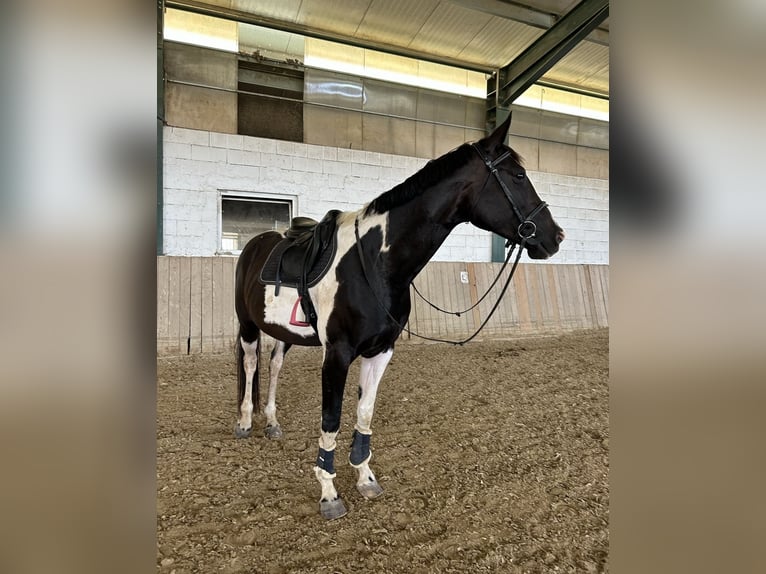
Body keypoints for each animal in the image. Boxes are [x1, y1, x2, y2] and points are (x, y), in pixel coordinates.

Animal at [233, 116, 565, 520]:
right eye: (518, 175)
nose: (555, 236)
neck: (375, 262)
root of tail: (255, 243)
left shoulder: (381, 350)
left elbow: (364, 412)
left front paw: (365, 477)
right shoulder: (337, 354)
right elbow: (331, 418)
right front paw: (329, 493)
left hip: (283, 333)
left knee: (275, 365)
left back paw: (272, 422)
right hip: (248, 326)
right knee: (250, 363)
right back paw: (245, 422)